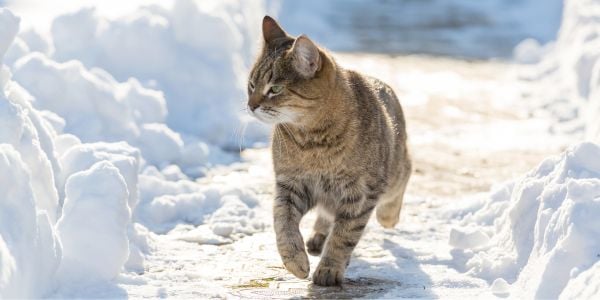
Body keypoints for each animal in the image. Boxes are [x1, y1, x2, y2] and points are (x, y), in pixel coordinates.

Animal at [246, 15, 410, 286]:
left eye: (275, 89)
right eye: (251, 85)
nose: (250, 105)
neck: (312, 143)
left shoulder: (360, 193)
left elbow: (344, 235)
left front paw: (330, 268)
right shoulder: (290, 184)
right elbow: (283, 223)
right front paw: (295, 259)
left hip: (393, 173)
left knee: (404, 175)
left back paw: (387, 216)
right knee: (326, 215)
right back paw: (318, 236)